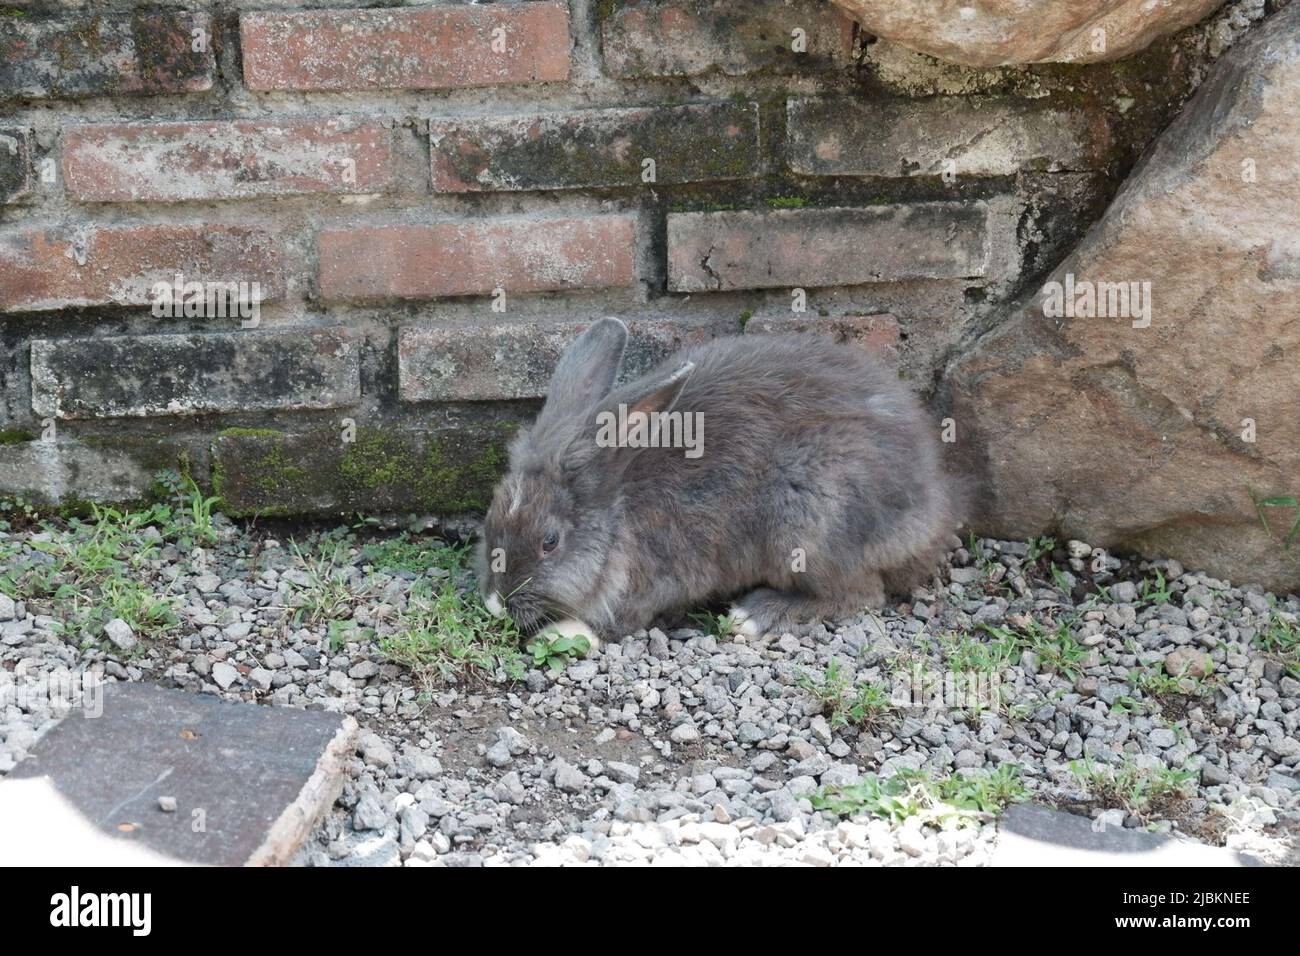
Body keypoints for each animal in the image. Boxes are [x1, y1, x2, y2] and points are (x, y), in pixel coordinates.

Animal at [476, 317, 961, 652]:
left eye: (550, 542)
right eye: (490, 521)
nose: (495, 602)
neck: (617, 514)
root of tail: (933, 511)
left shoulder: (656, 581)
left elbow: (620, 620)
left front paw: (560, 634)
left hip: (812, 519)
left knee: (863, 593)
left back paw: (754, 615)